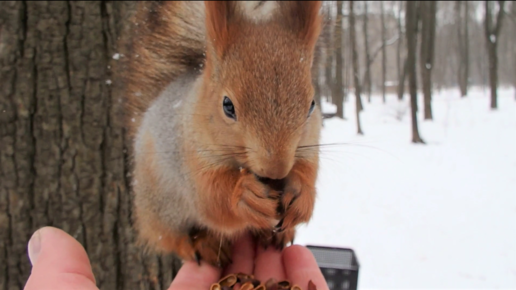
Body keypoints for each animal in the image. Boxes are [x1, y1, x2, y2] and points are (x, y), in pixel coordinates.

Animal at [124, 0, 322, 268]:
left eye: (312, 104)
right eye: (227, 105)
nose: (275, 170)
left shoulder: (309, 148)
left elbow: (307, 171)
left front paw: (301, 195)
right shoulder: (191, 158)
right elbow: (211, 199)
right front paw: (244, 194)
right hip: (159, 208)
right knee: (169, 237)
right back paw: (201, 245)